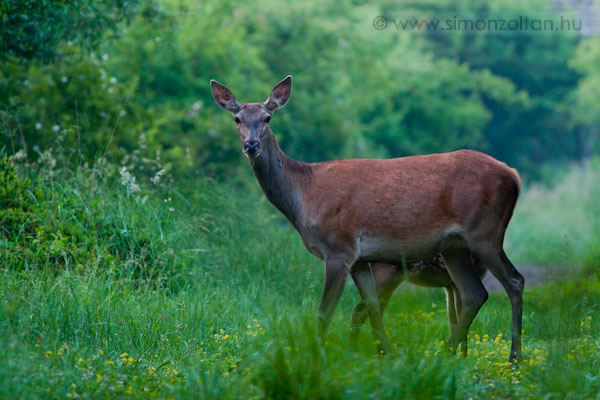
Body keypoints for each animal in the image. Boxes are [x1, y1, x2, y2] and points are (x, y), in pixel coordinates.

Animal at [211, 75, 524, 362]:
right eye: (237, 118)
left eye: (267, 117)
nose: (251, 145)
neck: (304, 198)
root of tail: (514, 176)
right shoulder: (361, 260)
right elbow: (370, 305)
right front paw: (387, 355)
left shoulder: (339, 248)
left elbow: (325, 312)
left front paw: (317, 358)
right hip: (454, 247)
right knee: (474, 294)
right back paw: (447, 354)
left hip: (485, 232)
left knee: (514, 280)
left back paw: (513, 358)